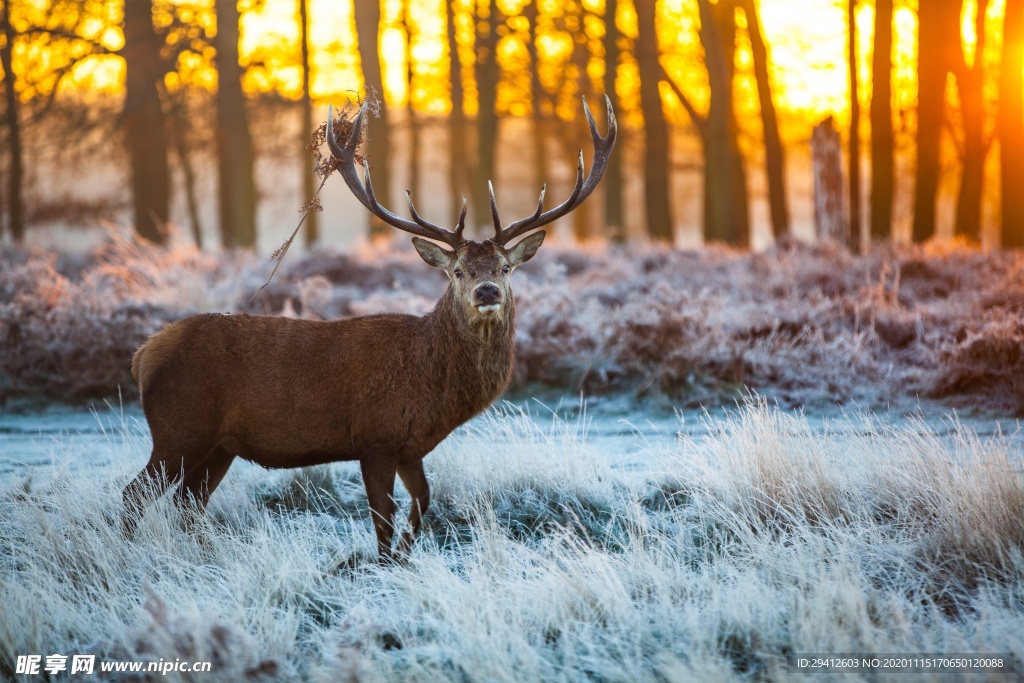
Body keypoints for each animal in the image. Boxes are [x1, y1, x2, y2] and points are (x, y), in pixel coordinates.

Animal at [119, 96, 614, 565]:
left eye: (506, 268)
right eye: (457, 271)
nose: (487, 291)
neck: (435, 391)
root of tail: (143, 356)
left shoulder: (411, 448)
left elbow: (422, 502)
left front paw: (405, 558)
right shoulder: (374, 438)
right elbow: (382, 518)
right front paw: (383, 565)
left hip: (219, 446)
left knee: (188, 504)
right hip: (178, 428)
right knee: (134, 496)